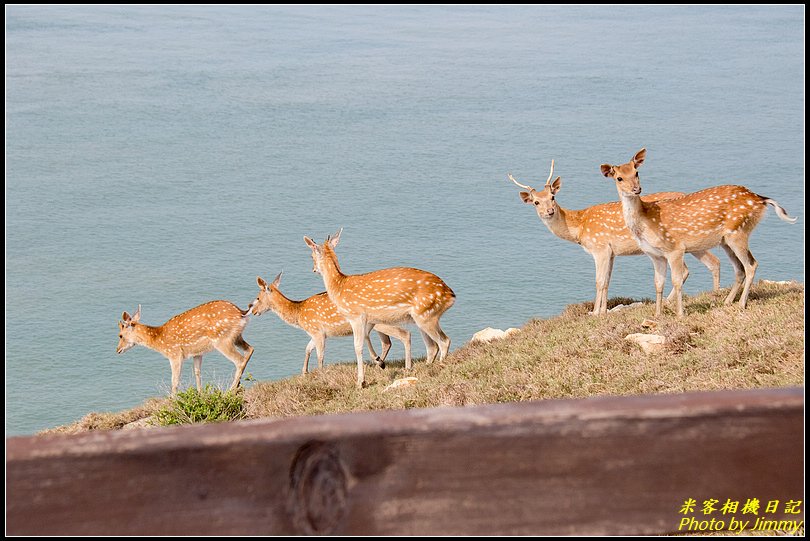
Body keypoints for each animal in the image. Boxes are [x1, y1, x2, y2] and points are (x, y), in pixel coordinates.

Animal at [116, 302, 252, 394]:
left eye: (120, 335)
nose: (117, 350)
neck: (159, 340)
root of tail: (242, 313)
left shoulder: (174, 354)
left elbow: (174, 380)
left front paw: (172, 401)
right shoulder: (197, 353)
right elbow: (197, 372)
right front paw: (200, 395)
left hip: (222, 340)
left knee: (239, 360)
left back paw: (231, 391)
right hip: (236, 337)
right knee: (250, 349)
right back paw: (237, 386)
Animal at [249, 272, 410, 374]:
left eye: (258, 297)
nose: (252, 310)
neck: (299, 314)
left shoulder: (317, 330)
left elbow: (320, 355)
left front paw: (319, 374)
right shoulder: (318, 333)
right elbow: (307, 349)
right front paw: (304, 372)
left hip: (384, 321)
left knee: (405, 334)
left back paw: (407, 367)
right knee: (388, 342)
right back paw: (380, 364)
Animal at [304, 230, 454, 386]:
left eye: (311, 256)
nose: (314, 269)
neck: (339, 287)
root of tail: (450, 295)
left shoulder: (356, 316)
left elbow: (357, 346)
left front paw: (361, 382)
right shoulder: (369, 320)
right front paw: (379, 363)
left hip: (426, 315)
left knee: (444, 341)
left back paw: (439, 367)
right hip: (422, 316)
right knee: (432, 346)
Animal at [504, 160, 720, 314]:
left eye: (553, 197)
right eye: (536, 202)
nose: (549, 211)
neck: (579, 227)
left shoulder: (599, 247)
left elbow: (599, 281)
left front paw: (595, 313)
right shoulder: (612, 252)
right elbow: (607, 281)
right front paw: (603, 311)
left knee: (695, 267)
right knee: (707, 263)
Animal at [600, 148, 796, 316]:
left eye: (636, 172)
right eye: (619, 178)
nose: (636, 189)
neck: (646, 222)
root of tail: (759, 199)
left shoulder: (675, 248)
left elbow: (677, 280)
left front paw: (680, 314)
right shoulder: (655, 255)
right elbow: (658, 283)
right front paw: (657, 314)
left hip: (738, 232)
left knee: (751, 265)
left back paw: (741, 304)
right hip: (726, 240)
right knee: (739, 268)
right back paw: (727, 301)